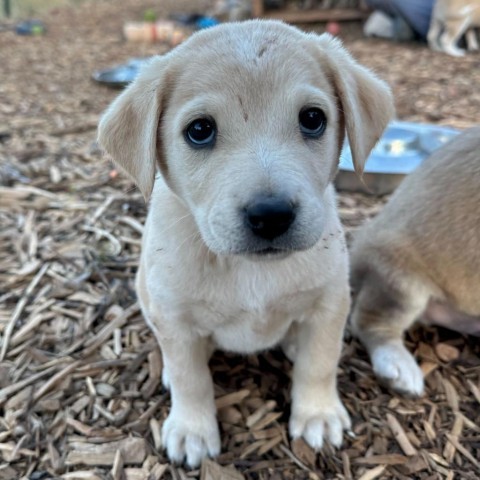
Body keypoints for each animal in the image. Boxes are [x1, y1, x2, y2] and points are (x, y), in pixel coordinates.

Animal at [98, 20, 394, 466]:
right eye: (200, 130)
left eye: (313, 119)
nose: (271, 215)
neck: (248, 269)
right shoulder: (174, 316)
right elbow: (190, 378)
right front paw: (192, 429)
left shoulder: (330, 301)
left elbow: (320, 362)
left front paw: (318, 414)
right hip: (146, 294)